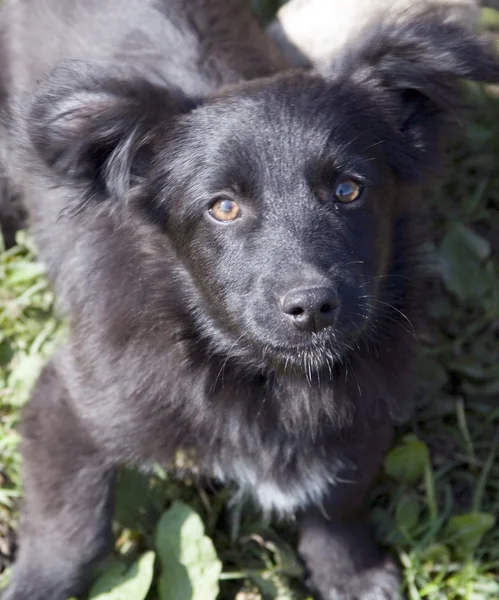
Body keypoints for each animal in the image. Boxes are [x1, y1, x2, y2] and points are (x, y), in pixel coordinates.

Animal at [0, 1, 499, 600]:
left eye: (349, 189)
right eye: (223, 207)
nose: (311, 307)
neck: (267, 376)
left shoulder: (366, 392)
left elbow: (339, 495)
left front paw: (349, 573)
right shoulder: (69, 404)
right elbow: (72, 533)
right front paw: (33, 586)